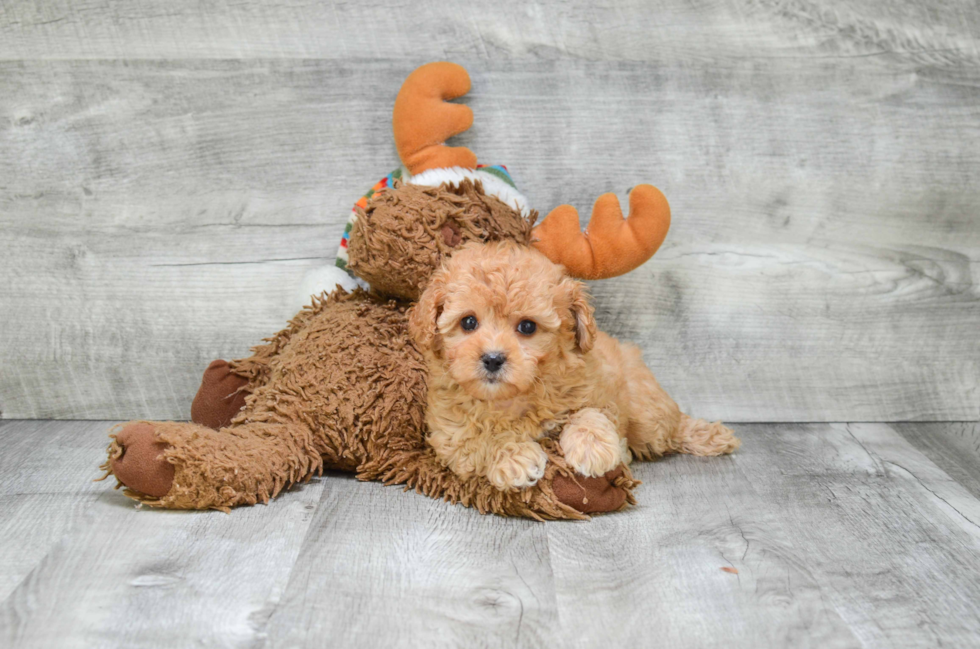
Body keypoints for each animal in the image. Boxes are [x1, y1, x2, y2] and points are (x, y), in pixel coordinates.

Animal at [408, 240, 744, 488]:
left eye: (527, 327)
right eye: (468, 322)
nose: (492, 358)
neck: (511, 398)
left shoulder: (599, 392)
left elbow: (589, 413)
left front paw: (592, 448)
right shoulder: (449, 435)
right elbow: (480, 439)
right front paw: (515, 457)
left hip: (647, 413)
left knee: (672, 427)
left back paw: (712, 436)